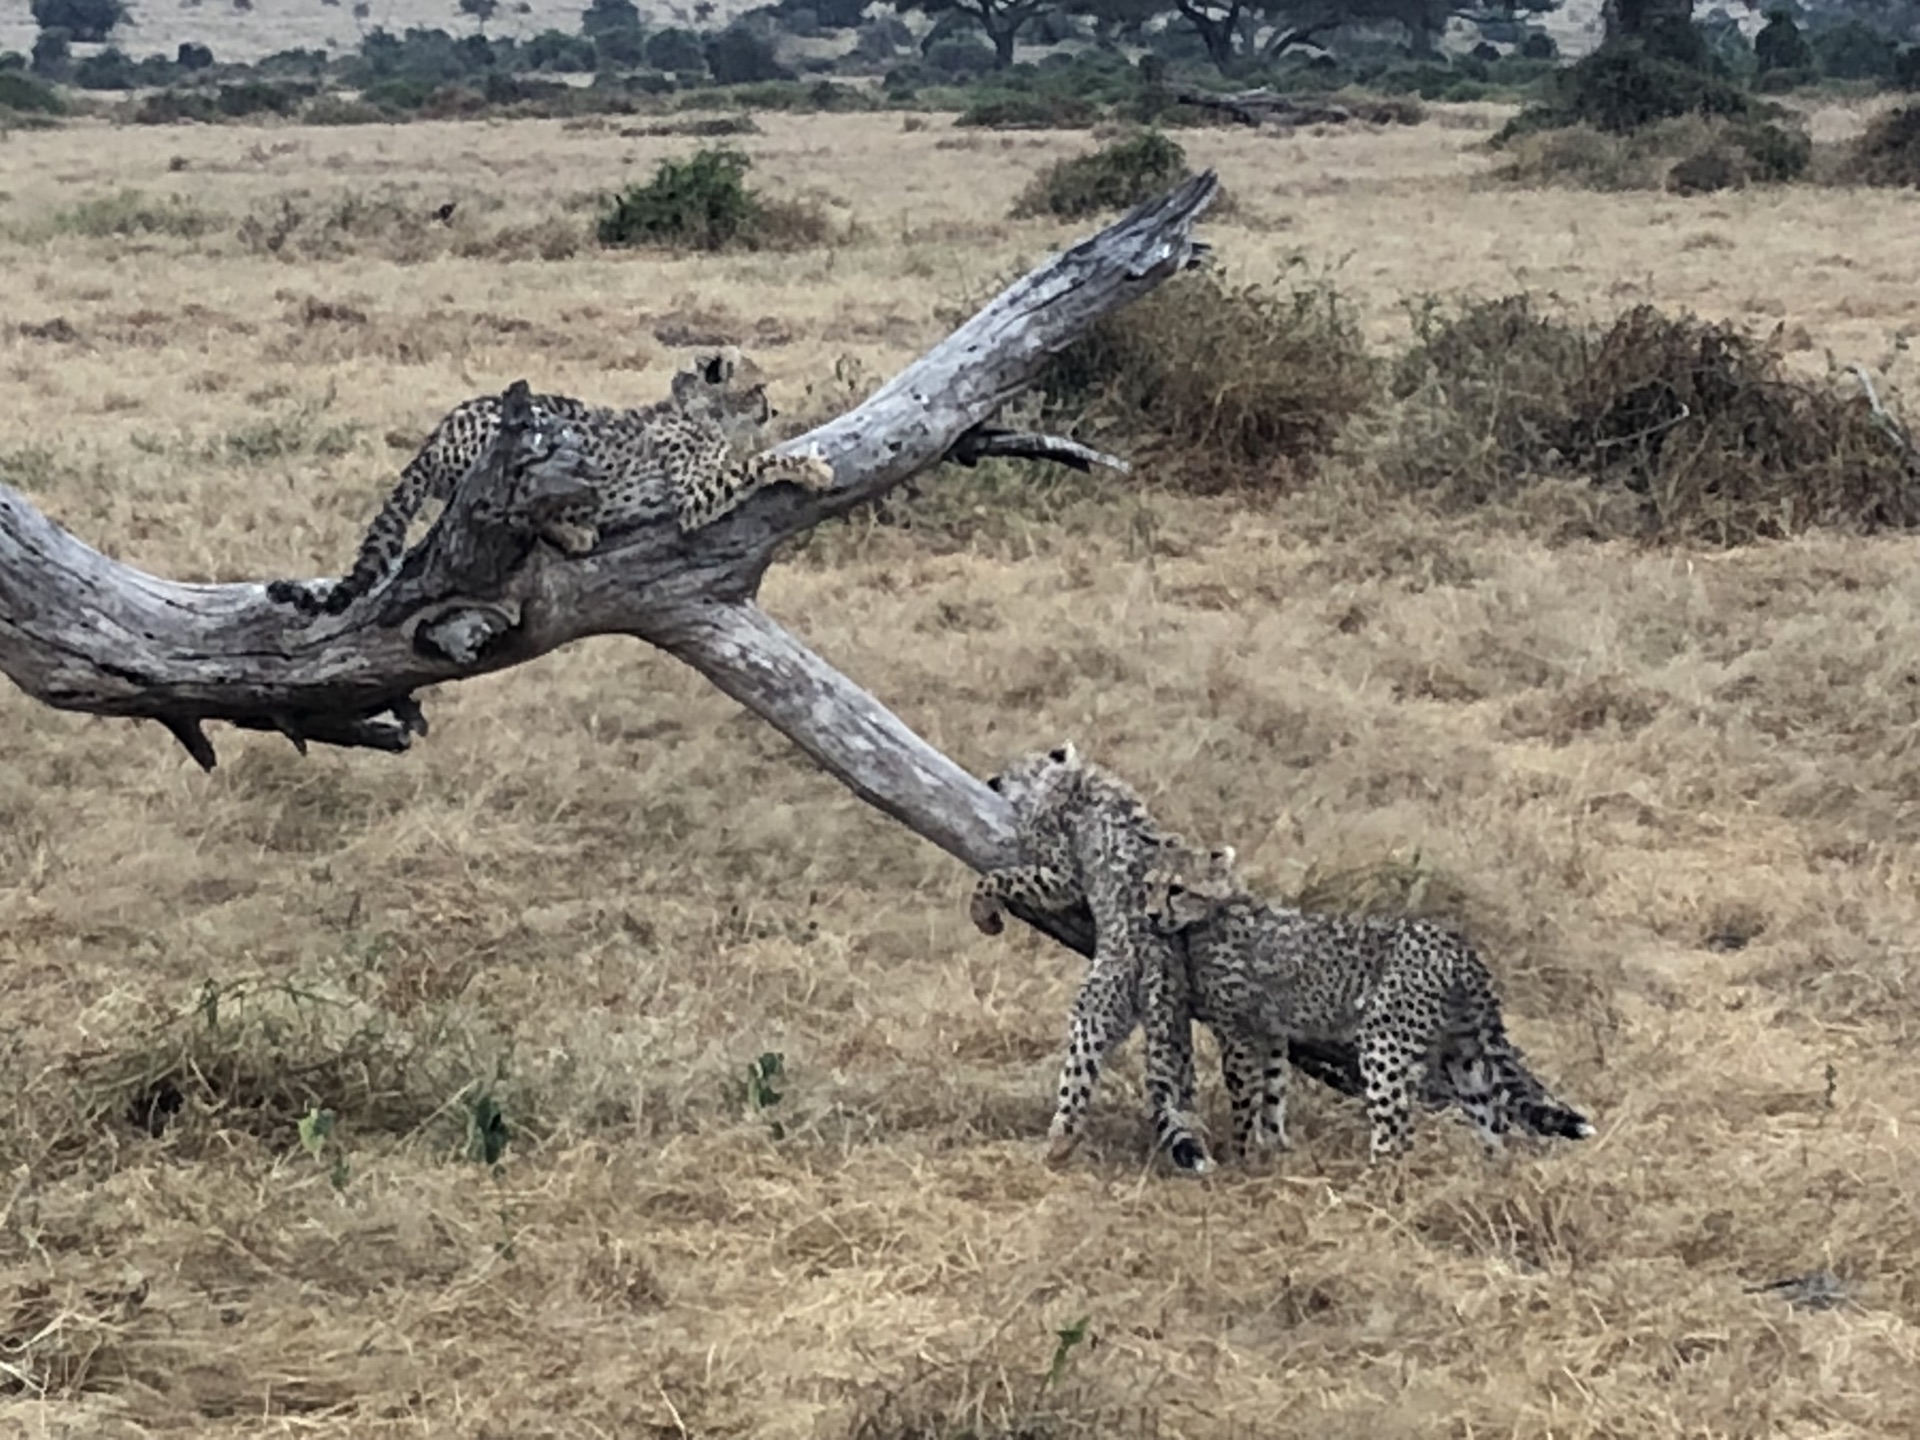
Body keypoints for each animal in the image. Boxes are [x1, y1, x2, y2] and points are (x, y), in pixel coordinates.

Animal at [266, 353, 837, 622]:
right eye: (758, 388)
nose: (772, 411)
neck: (697, 411)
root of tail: (440, 429)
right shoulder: (692, 496)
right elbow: (756, 460)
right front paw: (809, 467)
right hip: (540, 424)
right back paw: (575, 527)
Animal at [975, 748, 1213, 1175]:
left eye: (1010, 770)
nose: (992, 781)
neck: (1072, 772)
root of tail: (1159, 965)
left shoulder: (1060, 874)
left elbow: (1003, 876)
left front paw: (983, 910)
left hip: (1093, 1014)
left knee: (1077, 1084)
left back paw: (1053, 1149)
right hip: (1176, 1038)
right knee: (1180, 1098)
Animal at [1136, 844, 1589, 1159]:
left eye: (1176, 888)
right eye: (1149, 885)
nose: (1151, 914)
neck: (1216, 909)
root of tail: (1455, 942)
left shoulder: (1240, 1034)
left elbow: (1246, 1099)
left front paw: (1244, 1156)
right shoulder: (1274, 1034)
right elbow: (1274, 1092)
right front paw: (1277, 1148)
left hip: (1384, 1044)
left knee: (1396, 1130)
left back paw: (1375, 1179)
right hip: (1464, 1055)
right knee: (1492, 1121)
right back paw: (1491, 1174)